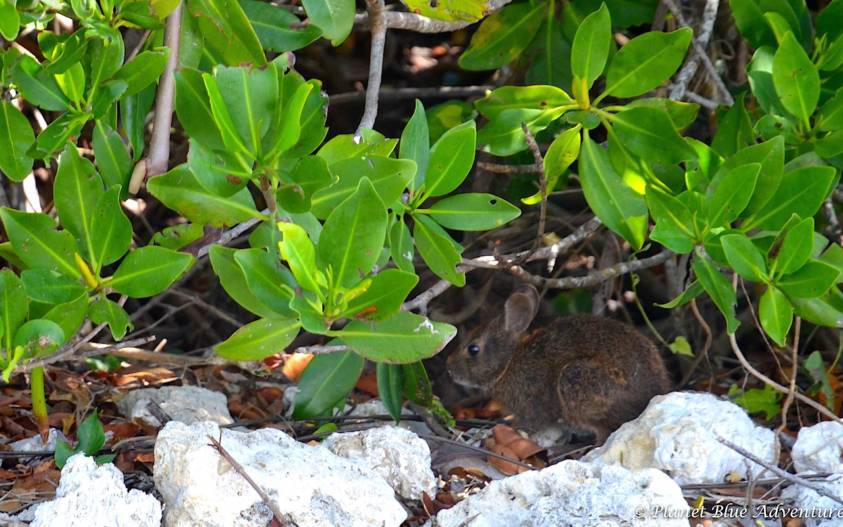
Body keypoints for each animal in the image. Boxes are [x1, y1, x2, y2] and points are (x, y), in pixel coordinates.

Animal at [448, 284, 672, 446]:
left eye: (473, 349)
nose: (450, 370)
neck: (509, 362)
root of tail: (653, 393)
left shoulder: (531, 403)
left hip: (577, 382)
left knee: (604, 431)